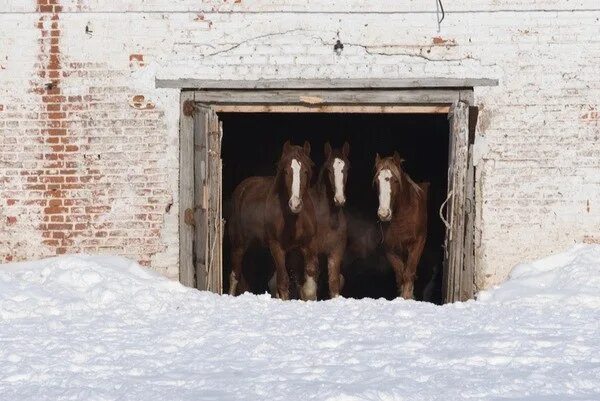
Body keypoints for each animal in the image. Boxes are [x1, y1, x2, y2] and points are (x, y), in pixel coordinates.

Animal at [227, 141, 318, 300]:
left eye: (306, 171)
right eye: (286, 171)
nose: (295, 204)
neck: (294, 219)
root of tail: (242, 188)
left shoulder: (308, 244)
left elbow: (308, 287)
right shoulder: (277, 246)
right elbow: (283, 282)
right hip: (239, 245)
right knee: (235, 275)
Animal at [372, 152, 428, 298]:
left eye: (395, 180)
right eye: (377, 181)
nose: (384, 213)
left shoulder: (418, 243)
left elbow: (409, 274)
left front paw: (407, 297)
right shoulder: (389, 248)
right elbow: (400, 276)